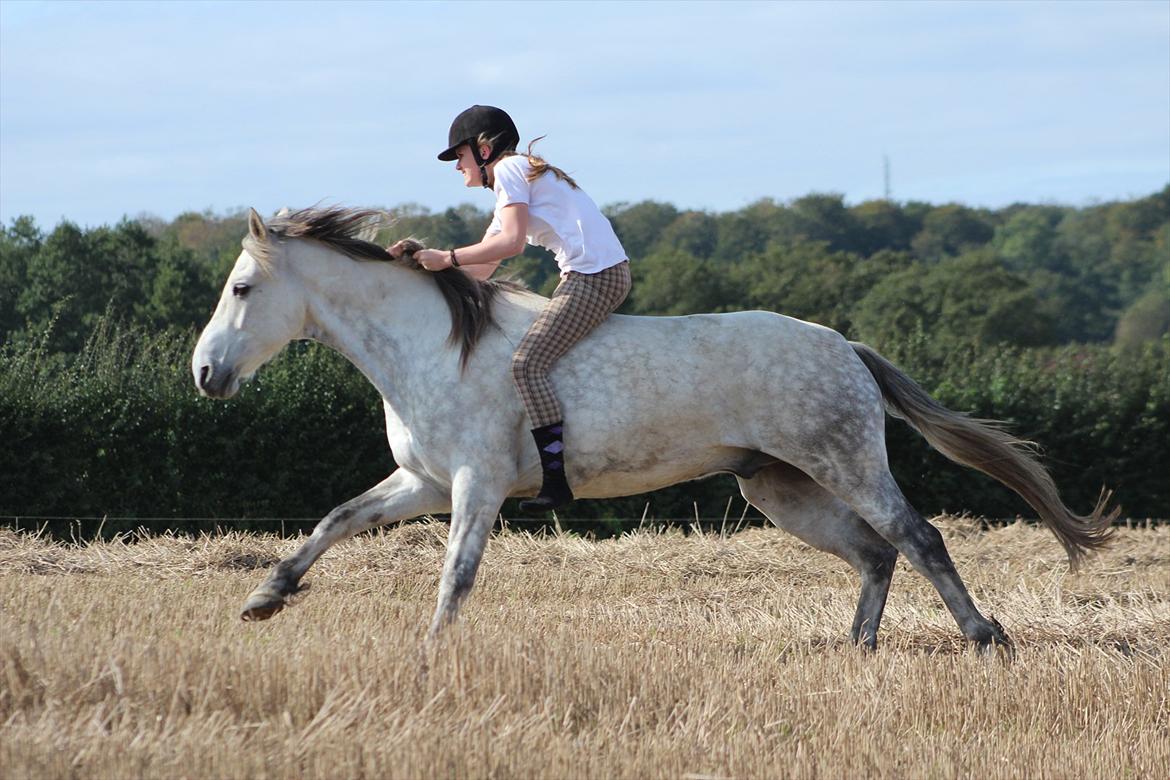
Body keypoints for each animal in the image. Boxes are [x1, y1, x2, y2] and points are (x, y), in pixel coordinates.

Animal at [191, 204, 1113, 650]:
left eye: (241, 288)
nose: (205, 374)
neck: (431, 346)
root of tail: (842, 344)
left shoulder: (475, 487)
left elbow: (455, 577)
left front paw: (430, 654)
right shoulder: (423, 482)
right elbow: (333, 521)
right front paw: (263, 599)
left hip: (844, 462)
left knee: (917, 538)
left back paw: (984, 637)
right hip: (780, 487)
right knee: (874, 552)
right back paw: (857, 647)